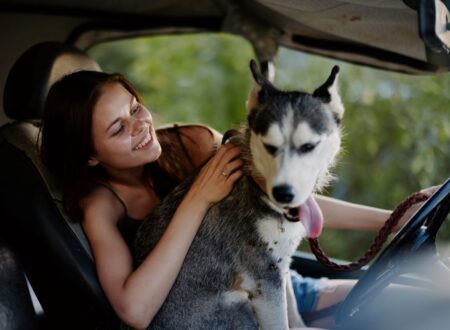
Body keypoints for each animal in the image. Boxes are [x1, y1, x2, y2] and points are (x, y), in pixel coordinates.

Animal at [132, 60, 342, 330]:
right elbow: (280, 322)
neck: (256, 185)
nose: (283, 193)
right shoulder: (264, 280)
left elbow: (293, 312)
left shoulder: (281, 268)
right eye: (270, 146)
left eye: (309, 146)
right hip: (239, 305)